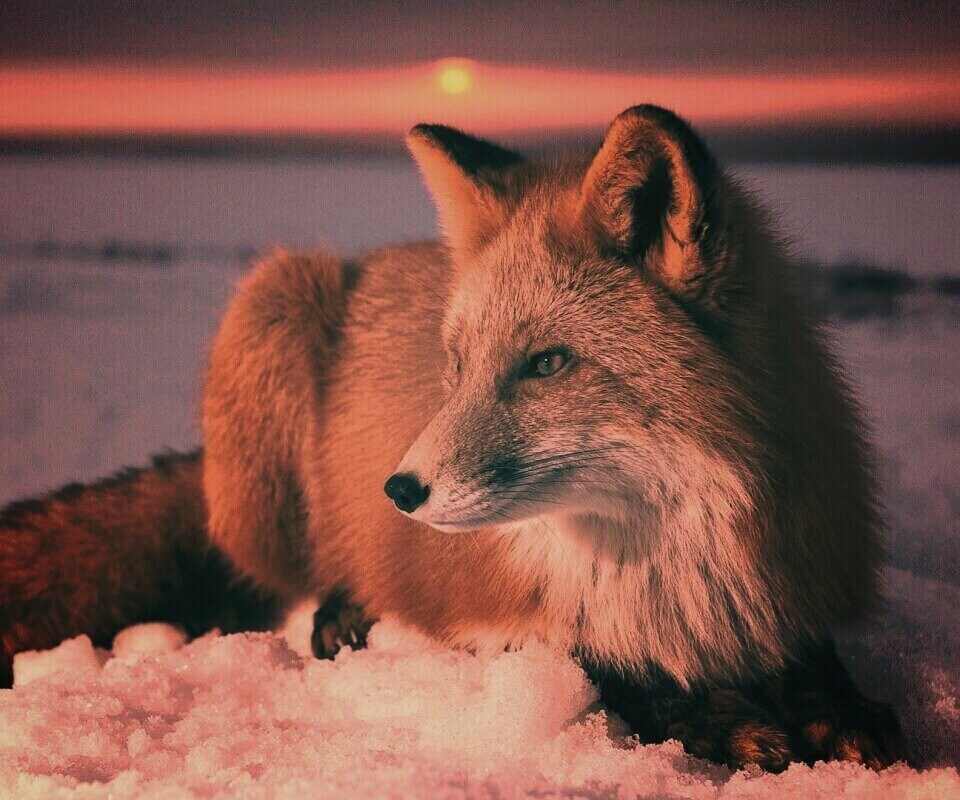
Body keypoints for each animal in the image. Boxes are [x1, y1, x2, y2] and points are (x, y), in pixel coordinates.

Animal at [0, 105, 907, 771]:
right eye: (459, 365)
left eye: (548, 363)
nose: (398, 491)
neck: (666, 567)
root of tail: (378, 255)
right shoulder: (476, 609)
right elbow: (600, 666)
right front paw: (722, 718)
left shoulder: (788, 575)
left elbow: (814, 659)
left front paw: (837, 710)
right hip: (274, 306)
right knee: (275, 579)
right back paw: (339, 612)